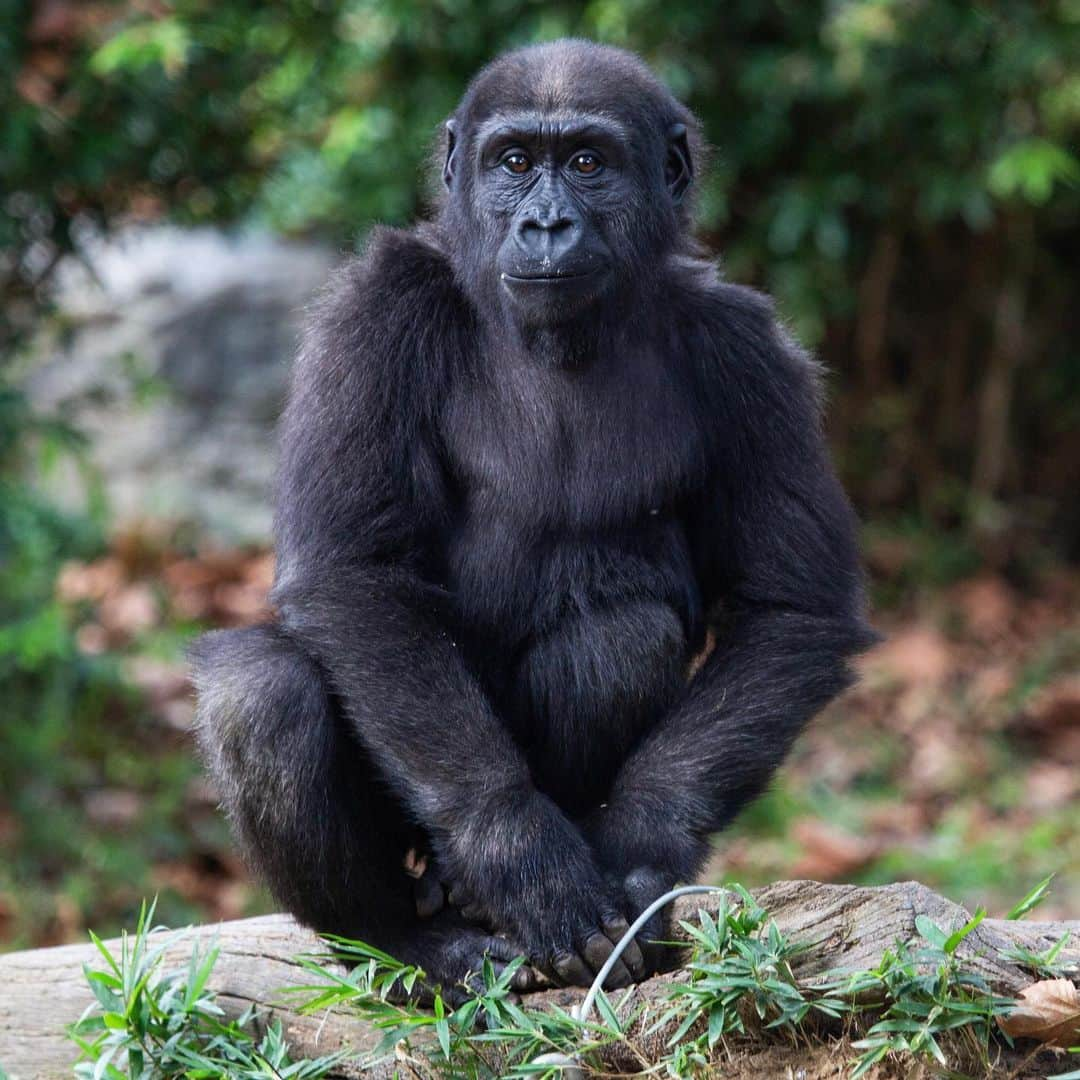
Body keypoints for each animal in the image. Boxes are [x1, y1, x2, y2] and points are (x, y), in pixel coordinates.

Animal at [190, 42, 872, 997]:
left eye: (587, 162)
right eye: (514, 163)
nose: (547, 225)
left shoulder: (750, 355)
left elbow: (790, 610)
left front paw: (637, 847)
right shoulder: (375, 308)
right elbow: (353, 575)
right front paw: (518, 853)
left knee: (619, 637)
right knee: (260, 696)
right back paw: (408, 938)